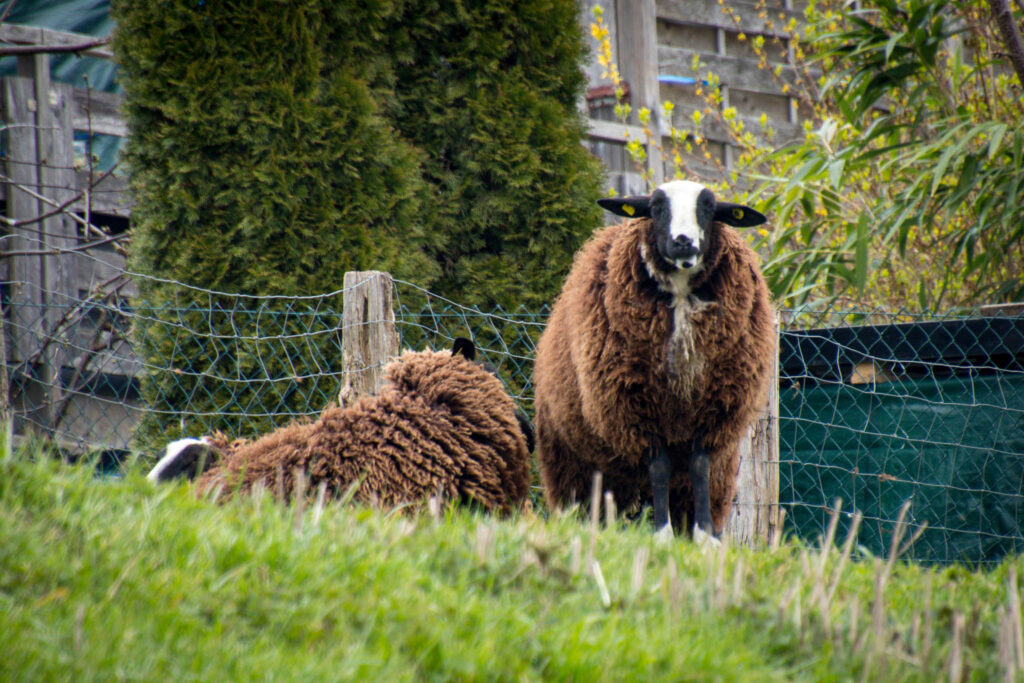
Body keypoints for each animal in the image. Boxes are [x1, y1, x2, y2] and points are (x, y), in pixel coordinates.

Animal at [532, 180, 770, 540]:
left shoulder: (712, 409)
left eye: (708, 207)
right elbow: (659, 468)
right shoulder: (637, 409)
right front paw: (662, 534)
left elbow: (699, 466)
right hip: (573, 465)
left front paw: (703, 536)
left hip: (716, 471)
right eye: (656, 207)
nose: (683, 241)